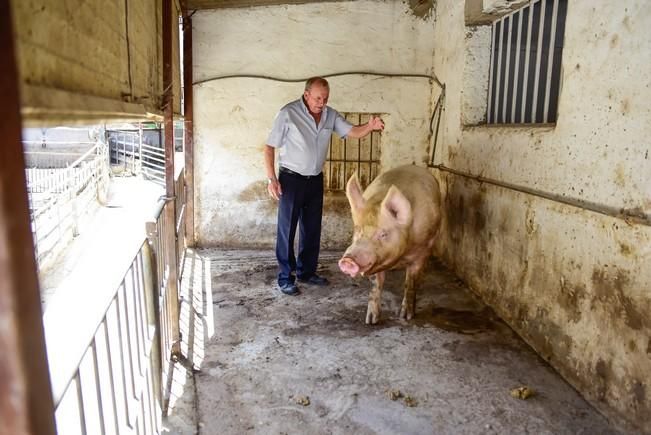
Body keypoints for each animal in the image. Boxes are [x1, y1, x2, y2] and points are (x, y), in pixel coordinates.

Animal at [338, 165, 440, 326]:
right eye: (358, 229)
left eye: (383, 234)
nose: (348, 260)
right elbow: (375, 285)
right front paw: (371, 320)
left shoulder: (422, 250)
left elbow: (410, 282)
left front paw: (406, 316)